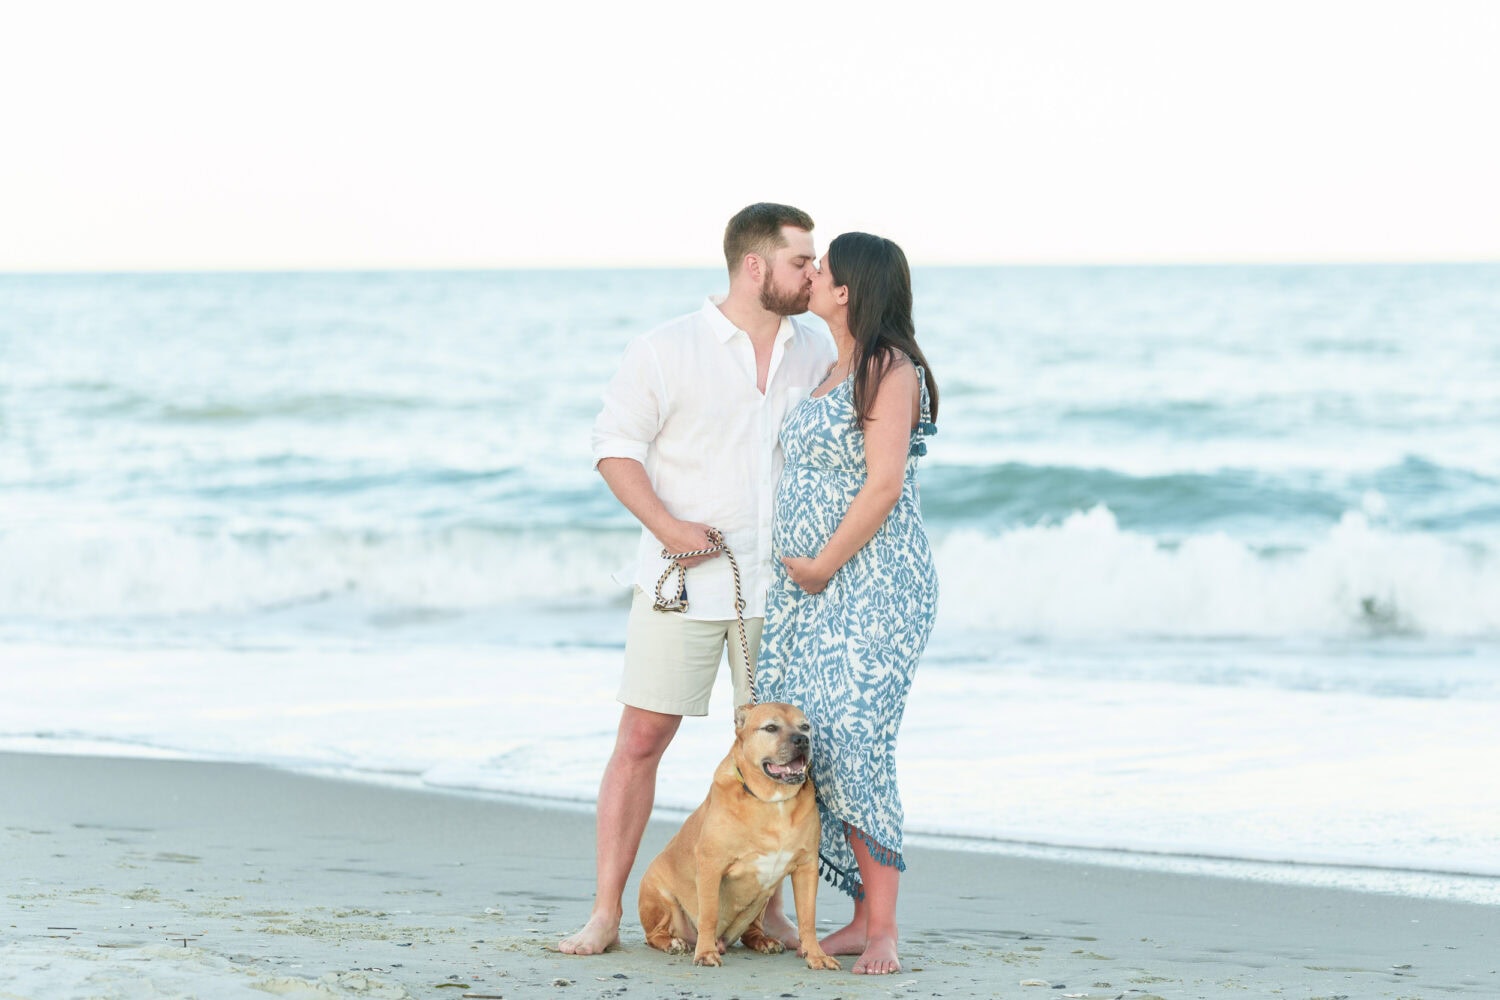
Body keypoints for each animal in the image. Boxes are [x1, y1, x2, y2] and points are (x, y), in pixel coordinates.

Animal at [636, 704, 840, 971]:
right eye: (771, 727)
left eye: (805, 727)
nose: (802, 740)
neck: (771, 800)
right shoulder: (711, 866)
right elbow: (709, 914)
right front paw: (705, 953)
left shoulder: (806, 867)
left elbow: (808, 918)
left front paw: (816, 955)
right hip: (657, 894)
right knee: (653, 935)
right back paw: (673, 942)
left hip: (763, 899)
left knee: (752, 929)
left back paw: (763, 940)